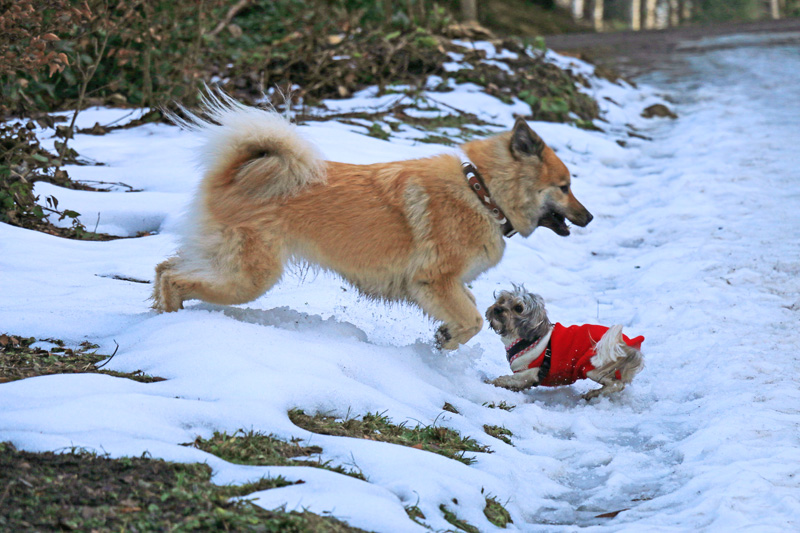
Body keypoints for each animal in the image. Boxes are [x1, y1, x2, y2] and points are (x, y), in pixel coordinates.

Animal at [153, 93, 592, 348]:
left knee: (164, 268)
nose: (589, 218)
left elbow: (470, 310)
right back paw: (171, 320)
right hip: (249, 278)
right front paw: (447, 340)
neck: (482, 192)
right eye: (565, 186)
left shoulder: (447, 286)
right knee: (175, 277)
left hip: (226, 265)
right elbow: (470, 321)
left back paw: (156, 316)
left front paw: (445, 334)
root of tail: (230, 175)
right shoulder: (433, 282)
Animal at [482, 286, 644, 400]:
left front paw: (491, 383)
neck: (526, 338)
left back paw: (593, 394)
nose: (497, 309)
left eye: (518, 308)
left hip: (593, 366)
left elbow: (505, 379)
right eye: (502, 300)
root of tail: (627, 345)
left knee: (617, 384)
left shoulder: (527, 374)